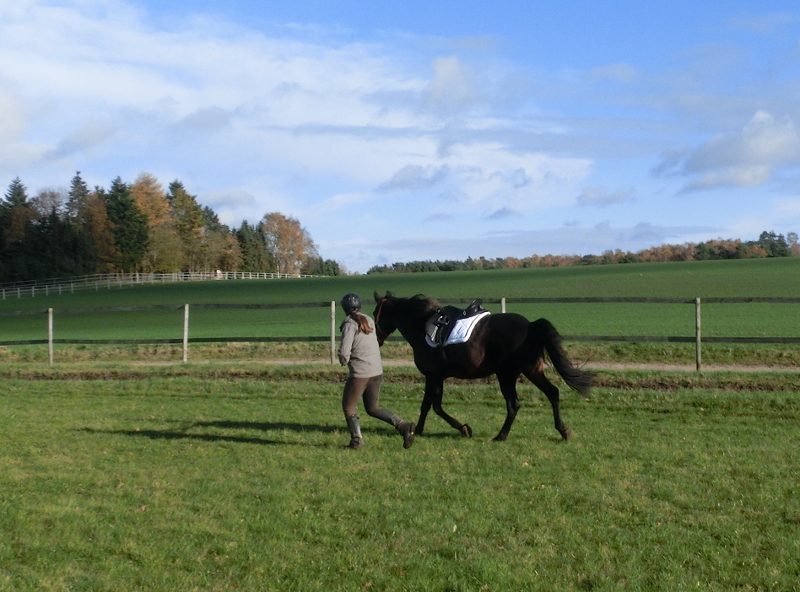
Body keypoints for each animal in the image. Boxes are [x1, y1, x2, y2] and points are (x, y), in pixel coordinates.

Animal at [372, 291, 593, 441]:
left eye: (376, 313)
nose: (376, 339)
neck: (423, 328)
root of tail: (531, 325)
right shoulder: (434, 377)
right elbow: (427, 405)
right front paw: (418, 429)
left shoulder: (433, 376)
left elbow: (434, 406)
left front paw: (462, 428)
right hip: (532, 371)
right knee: (553, 393)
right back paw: (563, 431)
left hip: (506, 375)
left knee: (514, 404)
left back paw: (501, 435)